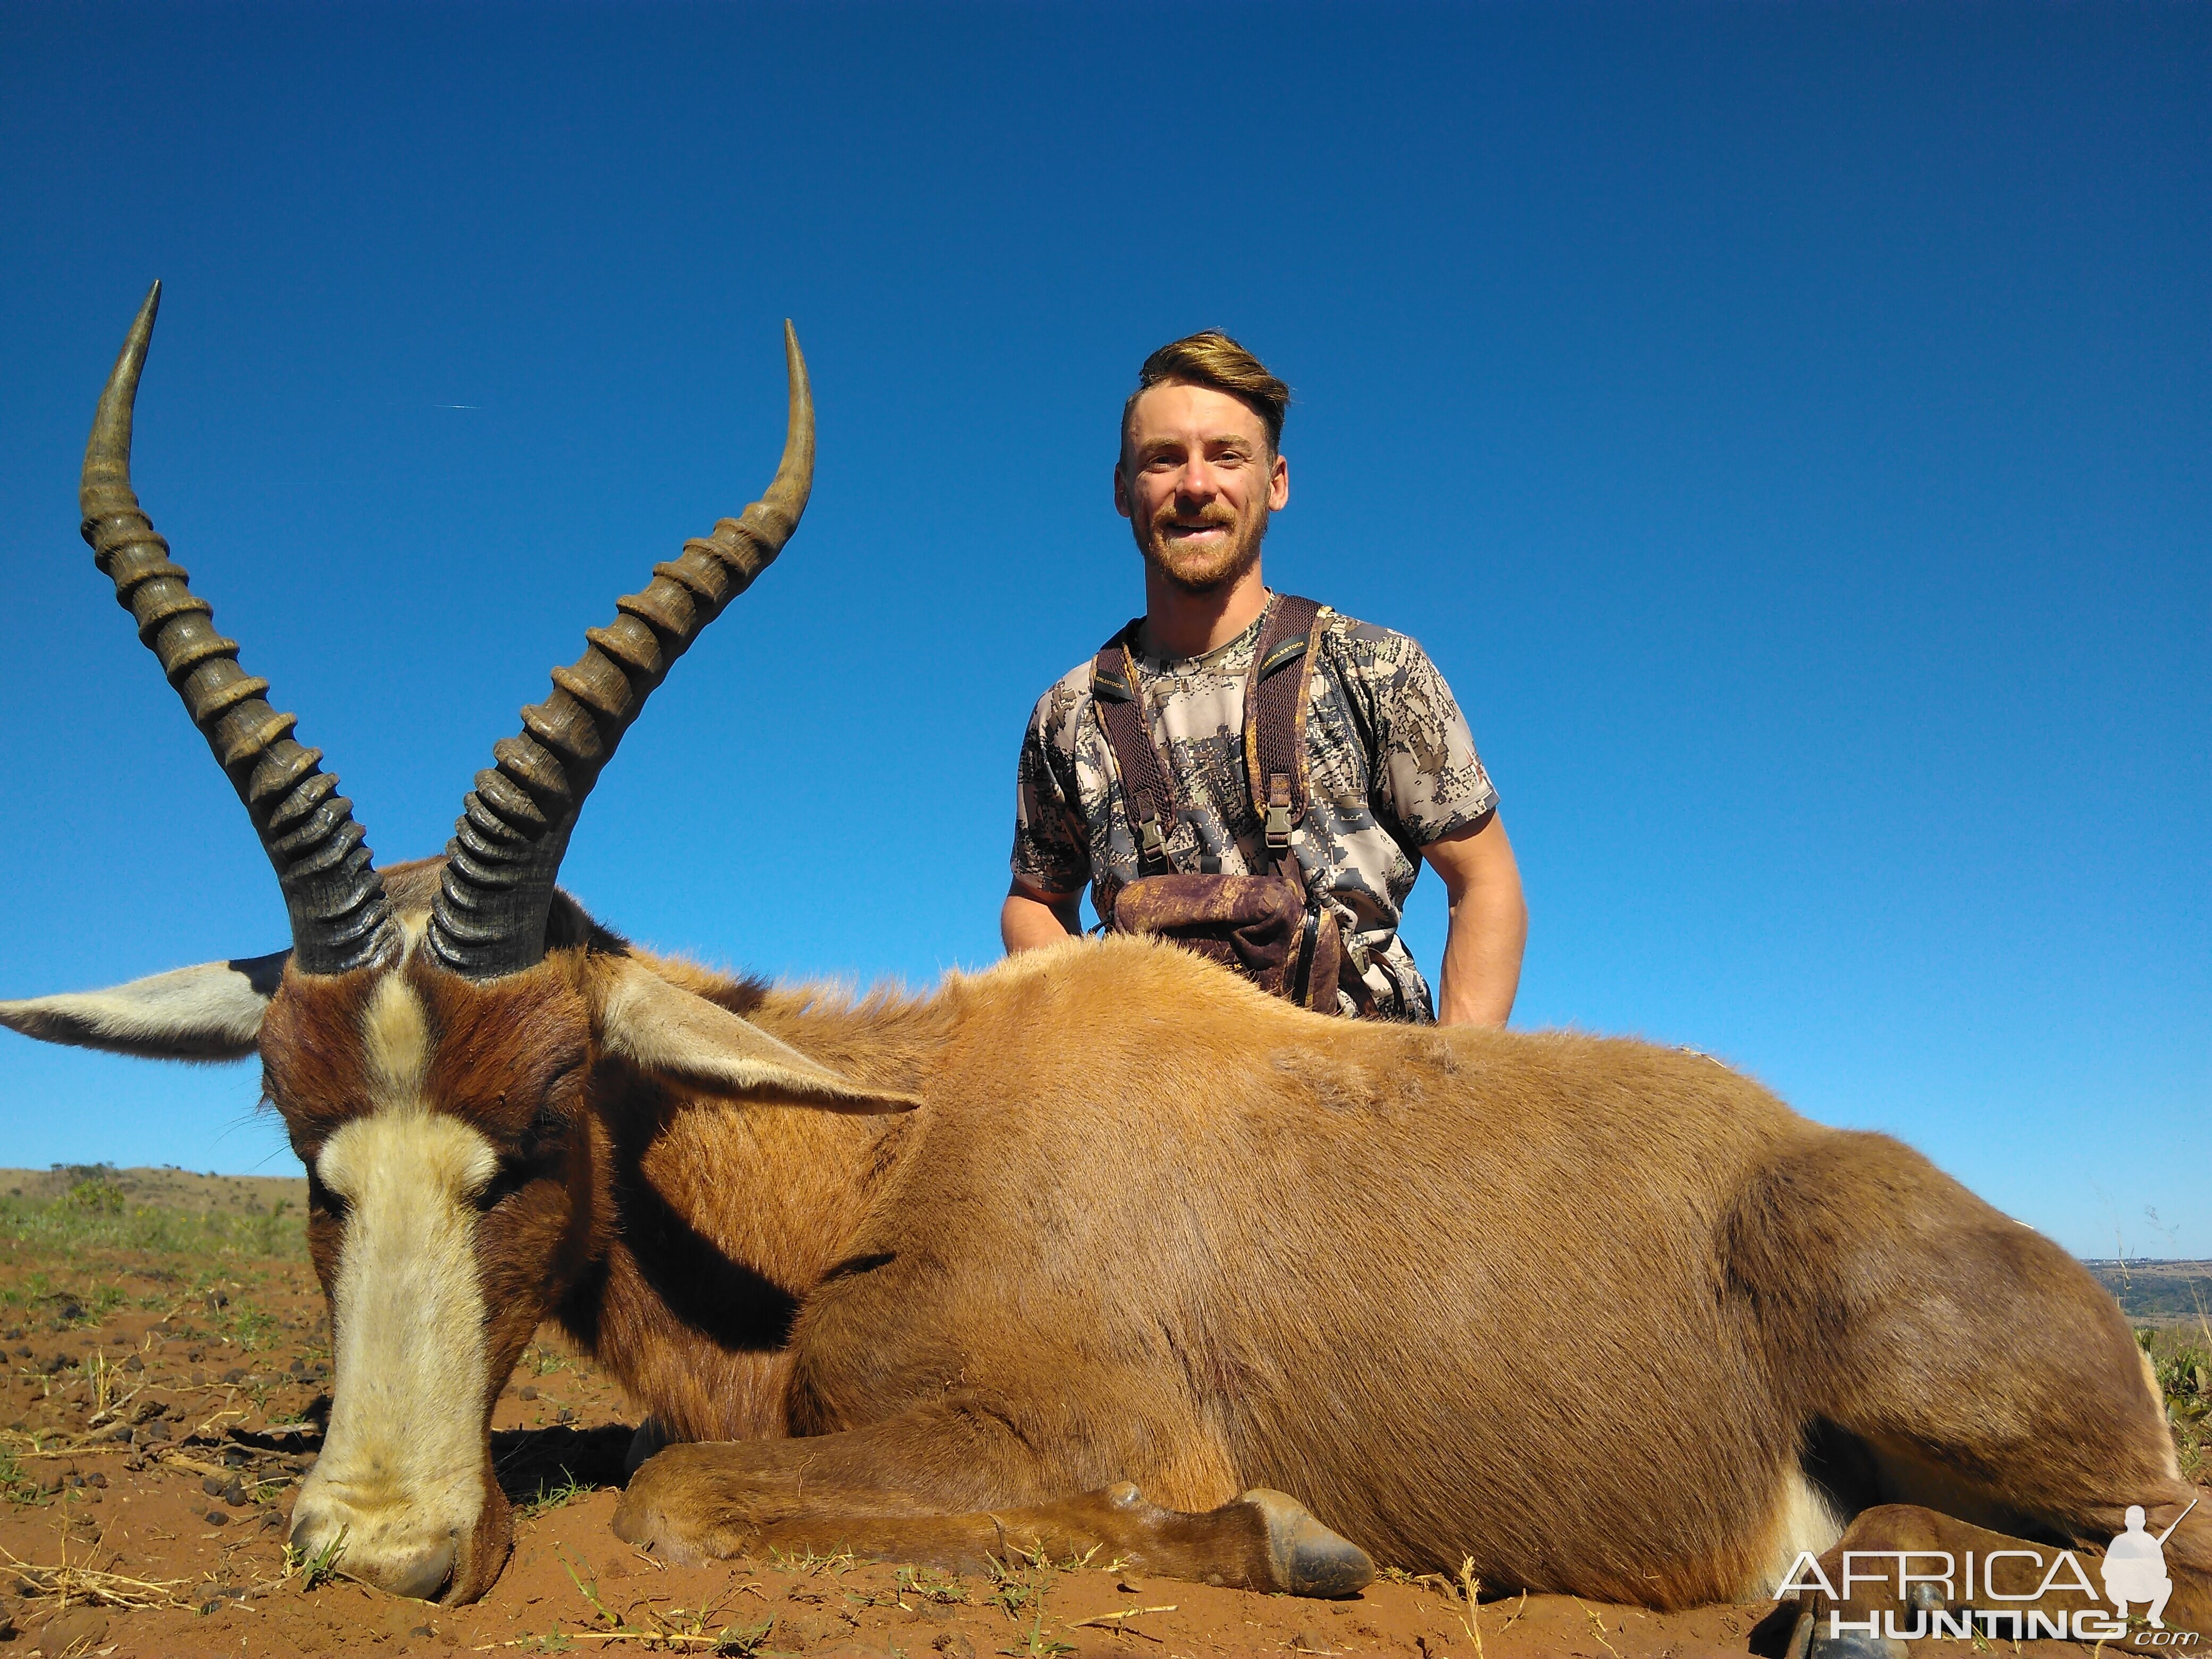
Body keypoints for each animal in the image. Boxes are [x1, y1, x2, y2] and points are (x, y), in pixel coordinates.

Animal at [0, 292, 2203, 1646]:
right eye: (304, 1138)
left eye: (539, 1123)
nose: (376, 1548)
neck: (898, 1144)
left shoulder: (1080, 1437)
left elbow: (680, 1491)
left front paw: (1295, 1537)